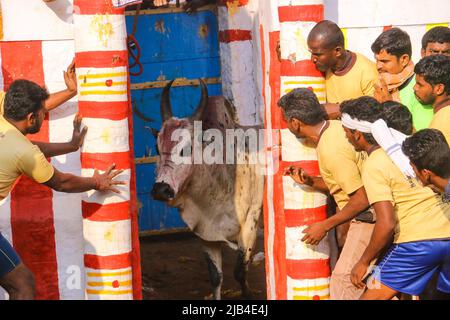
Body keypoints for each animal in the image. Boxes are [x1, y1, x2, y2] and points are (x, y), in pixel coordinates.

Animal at [148, 79, 264, 298]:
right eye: (158, 148)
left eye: (186, 149)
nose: (160, 189)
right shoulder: (204, 233)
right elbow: (216, 276)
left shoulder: (250, 222)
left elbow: (240, 271)